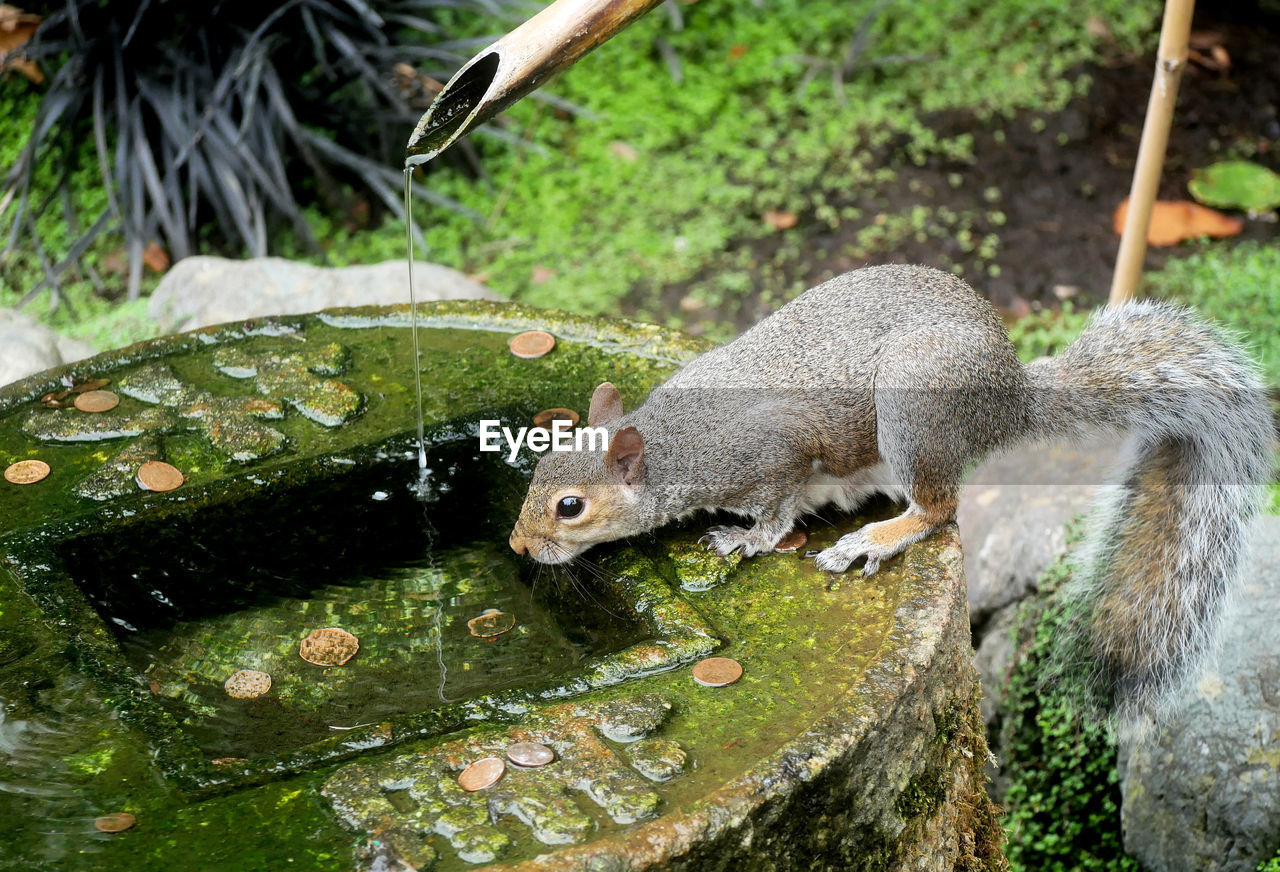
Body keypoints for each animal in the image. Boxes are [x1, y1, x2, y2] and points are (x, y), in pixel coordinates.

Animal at [506, 263, 1269, 727]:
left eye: (570, 506)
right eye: (538, 468)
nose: (518, 544)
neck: (674, 443)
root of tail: (1008, 398)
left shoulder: (771, 453)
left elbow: (776, 507)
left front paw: (744, 539)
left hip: (914, 409)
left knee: (940, 509)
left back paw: (874, 538)